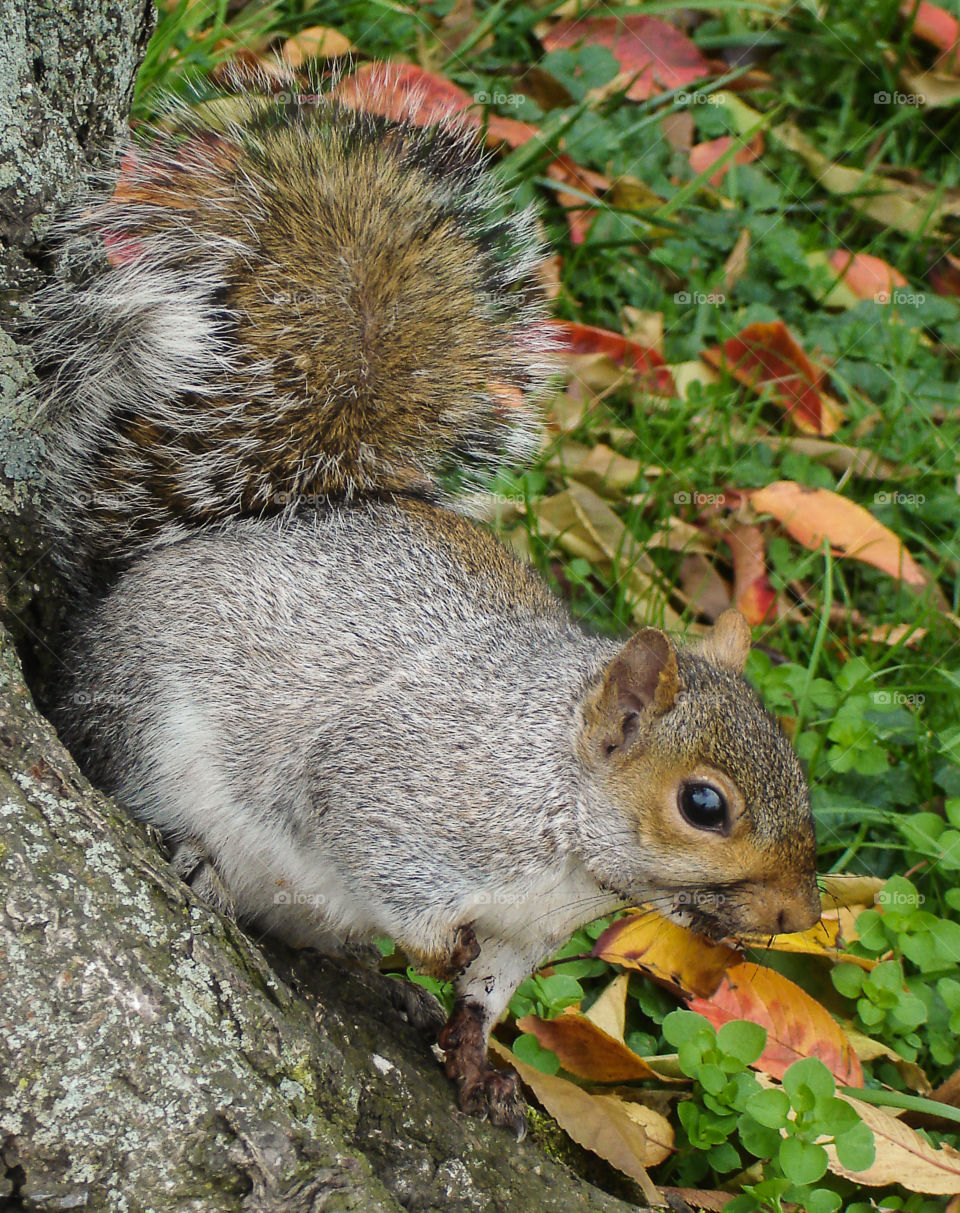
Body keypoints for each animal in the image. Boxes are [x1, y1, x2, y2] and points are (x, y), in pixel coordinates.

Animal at [35, 80, 820, 1130]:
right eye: (705, 805)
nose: (801, 916)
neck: (560, 822)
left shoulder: (531, 931)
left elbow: (489, 993)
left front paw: (477, 1054)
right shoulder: (396, 792)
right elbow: (379, 860)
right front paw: (435, 952)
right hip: (139, 720)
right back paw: (197, 855)